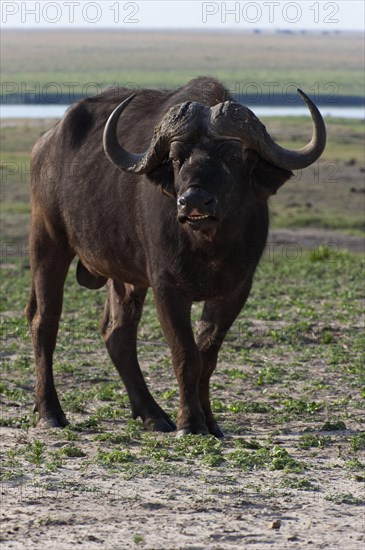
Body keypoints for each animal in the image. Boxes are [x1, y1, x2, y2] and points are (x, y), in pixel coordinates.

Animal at [27, 77, 326, 438]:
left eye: (232, 155)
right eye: (176, 157)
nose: (194, 201)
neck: (208, 244)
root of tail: (45, 143)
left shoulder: (236, 290)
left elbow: (207, 355)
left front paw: (210, 421)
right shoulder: (167, 287)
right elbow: (185, 354)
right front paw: (190, 423)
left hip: (124, 276)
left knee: (117, 334)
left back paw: (152, 414)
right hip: (48, 242)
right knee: (45, 322)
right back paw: (50, 412)